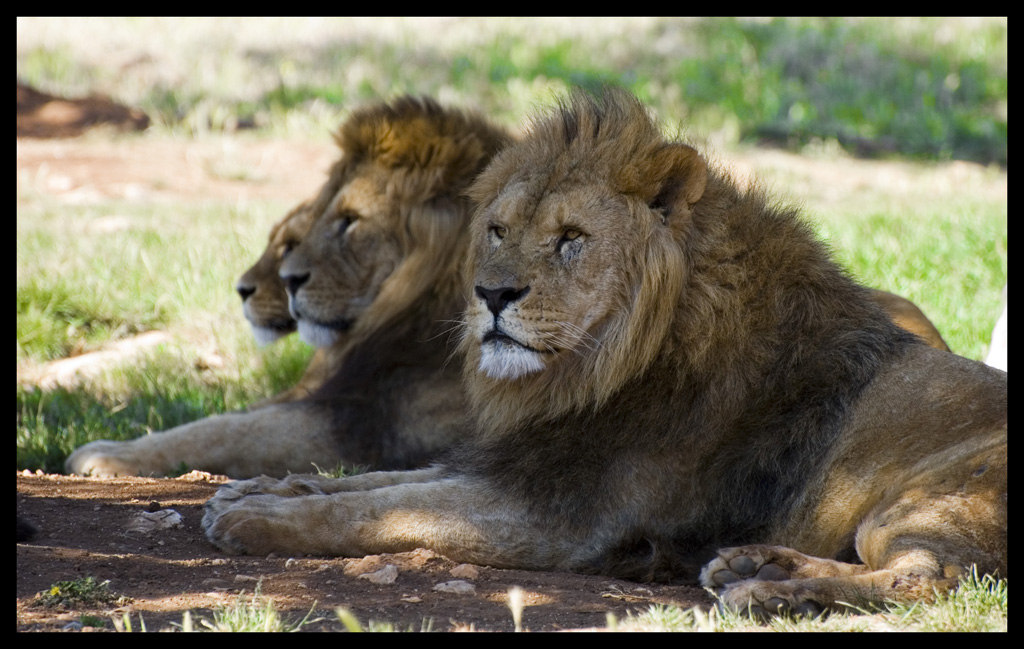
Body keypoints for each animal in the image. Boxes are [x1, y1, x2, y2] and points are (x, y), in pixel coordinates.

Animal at [65, 96, 511, 479]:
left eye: (350, 220)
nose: (288, 280)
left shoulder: (371, 430)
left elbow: (232, 431)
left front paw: (104, 454)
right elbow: (224, 417)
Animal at [202, 88, 1005, 618]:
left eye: (571, 239)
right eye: (497, 229)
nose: (491, 294)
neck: (587, 372)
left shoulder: (557, 514)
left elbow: (383, 510)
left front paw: (255, 518)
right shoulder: (511, 462)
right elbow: (373, 483)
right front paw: (259, 490)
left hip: (928, 498)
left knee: (928, 579)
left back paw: (768, 592)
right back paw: (752, 561)